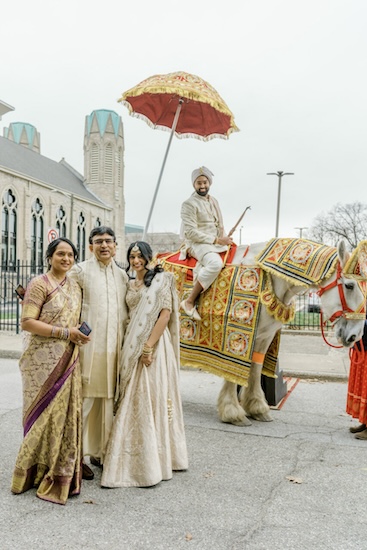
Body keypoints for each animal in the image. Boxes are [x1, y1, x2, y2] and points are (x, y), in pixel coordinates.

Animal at [217, 240, 366, 426]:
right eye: (349, 285)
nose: (355, 336)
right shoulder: (236, 332)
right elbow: (232, 369)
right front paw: (232, 412)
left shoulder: (264, 336)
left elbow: (256, 368)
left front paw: (257, 407)